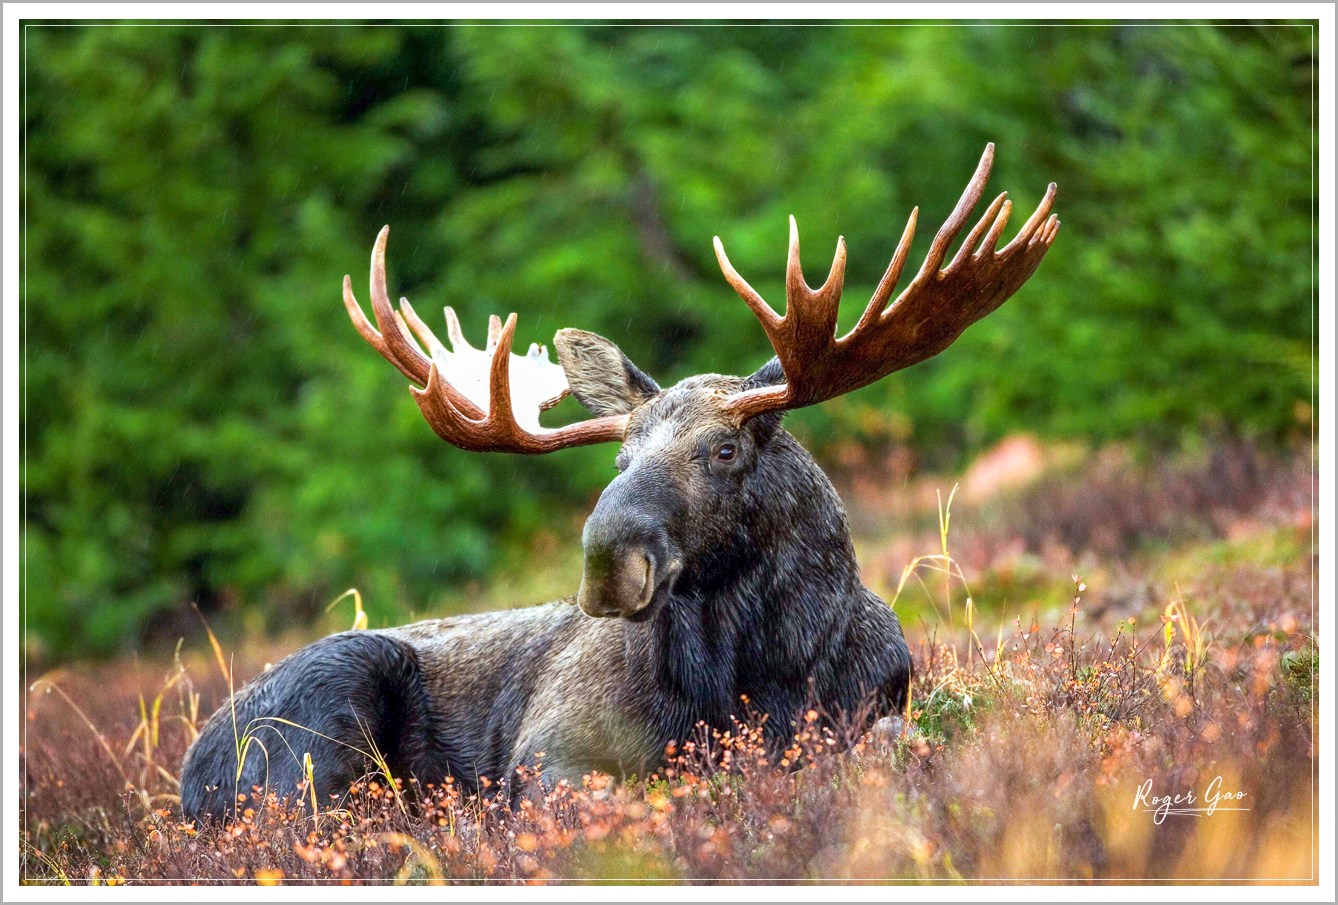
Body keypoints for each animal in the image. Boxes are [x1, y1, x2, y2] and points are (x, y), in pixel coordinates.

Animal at [180, 141, 1054, 819]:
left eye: (724, 450)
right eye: (619, 458)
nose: (608, 561)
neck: (758, 675)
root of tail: (189, 775)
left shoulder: (879, 707)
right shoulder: (549, 751)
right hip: (322, 717)